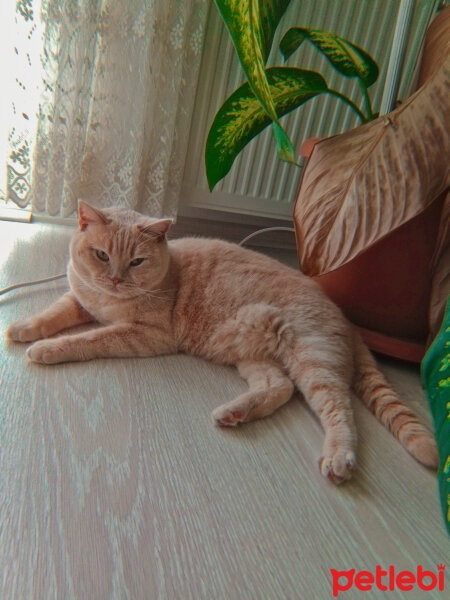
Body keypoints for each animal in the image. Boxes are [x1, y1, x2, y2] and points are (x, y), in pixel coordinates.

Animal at [7, 202, 438, 482]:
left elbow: (90, 338)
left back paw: (338, 456)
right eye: (100, 255)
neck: (107, 300)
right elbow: (52, 314)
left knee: (339, 410)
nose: (114, 279)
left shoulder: (144, 334)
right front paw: (23, 328)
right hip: (253, 356)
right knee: (279, 387)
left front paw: (48, 349)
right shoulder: (79, 300)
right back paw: (235, 412)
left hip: (313, 360)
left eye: (136, 262)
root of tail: (349, 323)